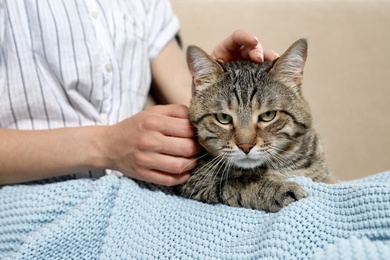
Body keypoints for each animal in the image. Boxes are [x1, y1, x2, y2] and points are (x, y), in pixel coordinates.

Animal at [181, 39, 334, 213]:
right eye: (223, 118)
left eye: (268, 115)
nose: (245, 146)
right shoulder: (196, 181)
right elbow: (244, 182)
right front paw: (282, 190)